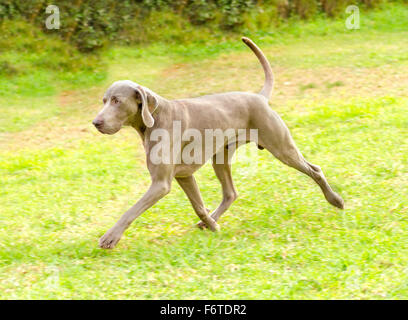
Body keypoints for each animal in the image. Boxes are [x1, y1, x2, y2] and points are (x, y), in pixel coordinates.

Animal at [93, 36, 344, 249]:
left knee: (315, 169)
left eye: (117, 101)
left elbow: (131, 210)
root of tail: (260, 97)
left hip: (282, 147)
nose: (96, 122)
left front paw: (110, 237)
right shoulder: (184, 175)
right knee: (230, 193)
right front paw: (212, 225)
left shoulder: (161, 183)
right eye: (104, 100)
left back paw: (336, 200)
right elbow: (198, 206)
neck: (155, 119)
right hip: (221, 157)